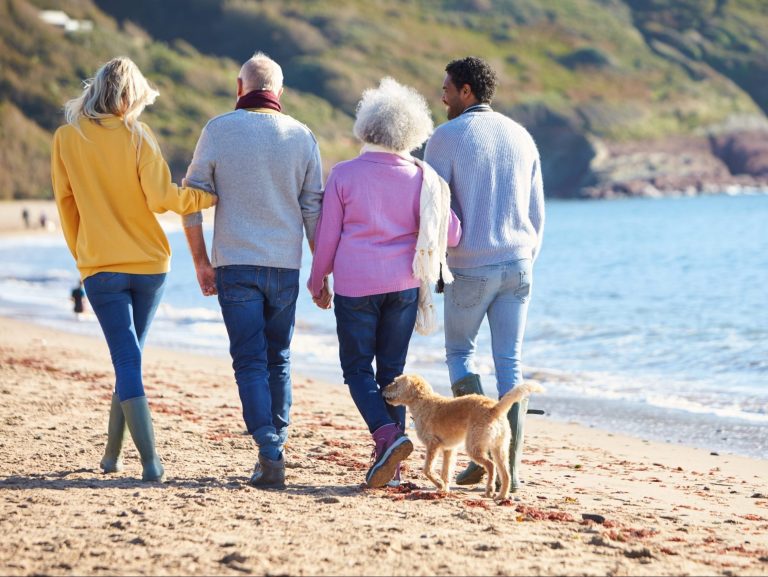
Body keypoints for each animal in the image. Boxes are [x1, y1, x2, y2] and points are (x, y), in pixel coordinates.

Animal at [382, 374, 540, 500]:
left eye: (396, 383)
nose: (382, 389)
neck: (423, 401)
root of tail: (494, 409)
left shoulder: (433, 445)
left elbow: (427, 470)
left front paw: (438, 484)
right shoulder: (448, 450)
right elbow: (446, 472)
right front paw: (443, 489)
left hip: (474, 447)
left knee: (491, 465)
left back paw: (489, 490)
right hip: (499, 448)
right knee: (506, 474)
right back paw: (501, 495)